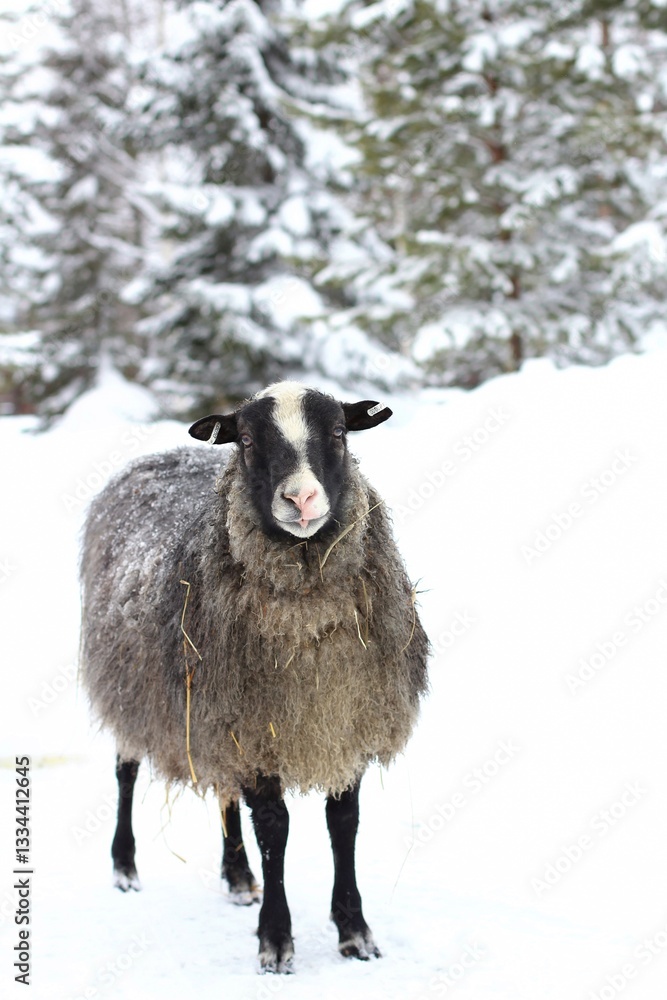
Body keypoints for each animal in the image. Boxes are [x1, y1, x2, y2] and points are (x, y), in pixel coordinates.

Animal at [79, 380, 429, 973]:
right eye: (244, 440)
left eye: (339, 431)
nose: (302, 500)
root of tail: (155, 456)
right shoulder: (256, 729)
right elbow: (274, 829)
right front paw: (276, 941)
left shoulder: (344, 720)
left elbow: (344, 824)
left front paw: (354, 931)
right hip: (132, 686)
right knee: (125, 772)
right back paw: (124, 868)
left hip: (213, 718)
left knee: (222, 790)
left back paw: (239, 877)